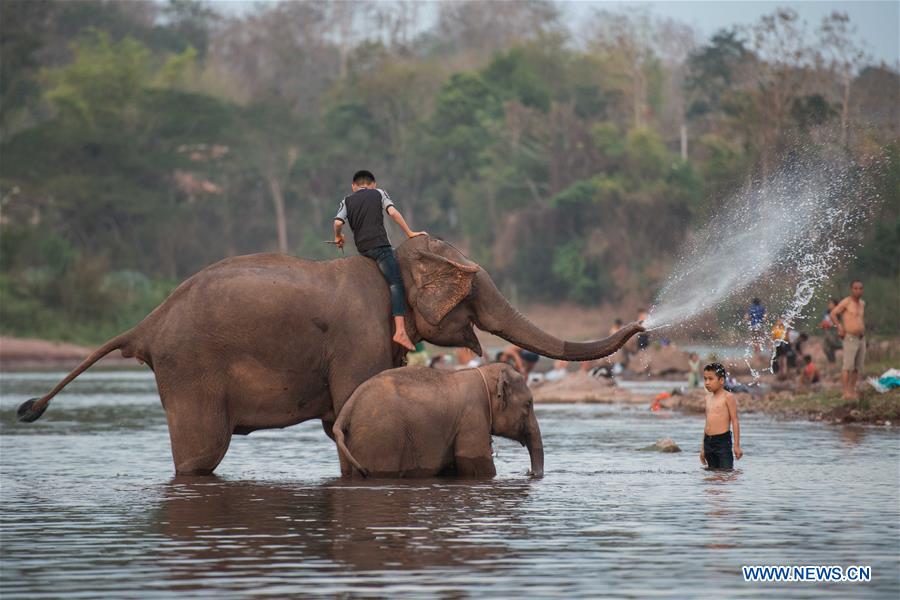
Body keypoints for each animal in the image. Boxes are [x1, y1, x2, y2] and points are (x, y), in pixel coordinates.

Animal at [330, 360, 540, 478]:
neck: (482, 372)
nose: (529, 473)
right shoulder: (472, 416)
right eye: (528, 404)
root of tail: (347, 408)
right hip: (381, 439)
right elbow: (475, 462)